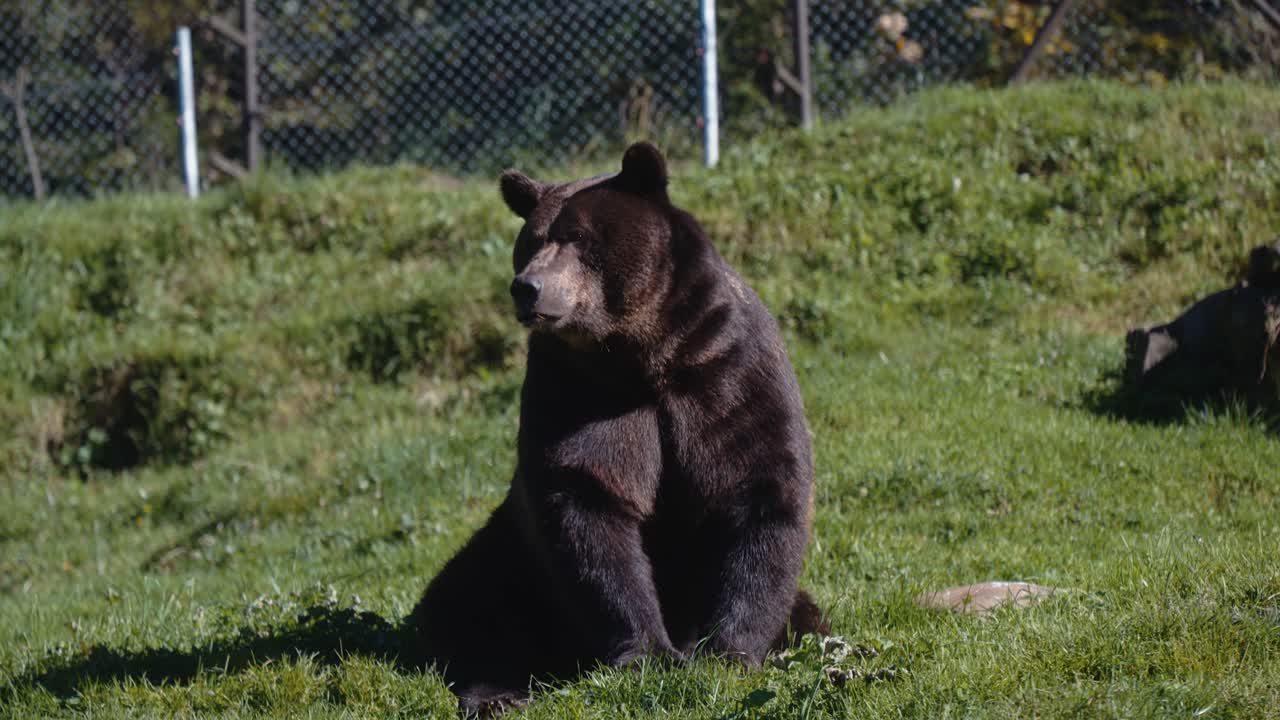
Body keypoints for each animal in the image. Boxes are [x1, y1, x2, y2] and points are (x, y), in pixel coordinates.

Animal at [410, 142, 824, 716]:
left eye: (578, 237)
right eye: (530, 242)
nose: (527, 288)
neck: (641, 352)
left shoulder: (726, 376)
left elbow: (758, 491)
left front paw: (727, 651)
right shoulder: (577, 393)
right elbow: (589, 503)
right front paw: (650, 653)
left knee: (806, 611)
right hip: (508, 554)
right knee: (467, 604)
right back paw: (498, 691)